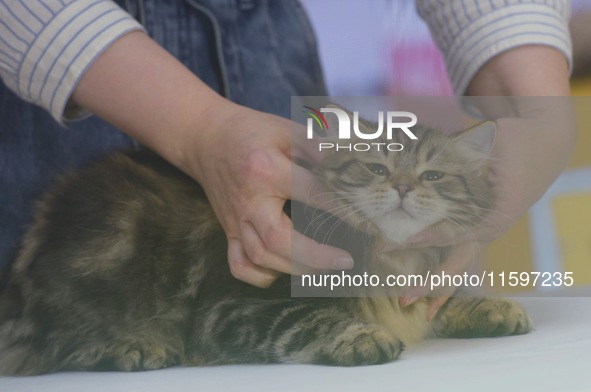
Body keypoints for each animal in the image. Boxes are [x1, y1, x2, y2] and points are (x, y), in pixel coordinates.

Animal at [0, 108, 532, 376]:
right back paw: (134, 346)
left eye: (432, 176)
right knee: (56, 348)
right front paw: (357, 335)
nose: (402, 187)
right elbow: (307, 318)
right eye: (376, 168)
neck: (392, 259)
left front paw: (490, 307)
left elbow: (441, 302)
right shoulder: (230, 307)